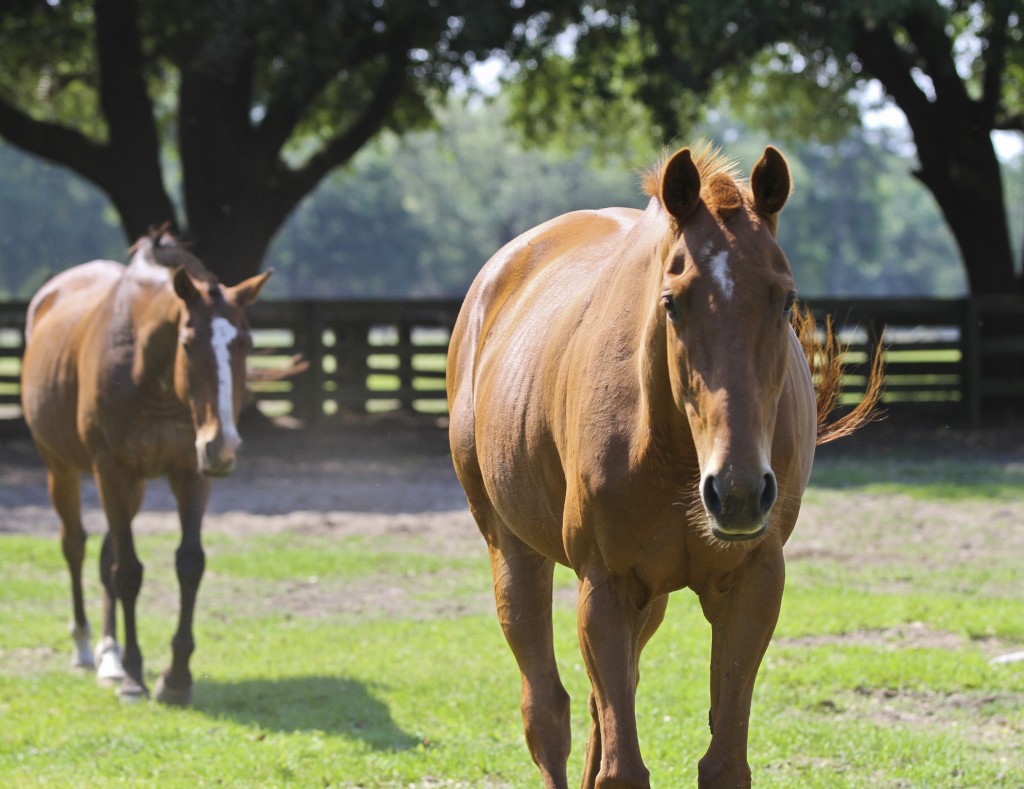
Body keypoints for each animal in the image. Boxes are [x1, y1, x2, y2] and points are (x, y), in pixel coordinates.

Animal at [22, 231, 270, 708]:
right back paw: (86, 649)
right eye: (188, 343)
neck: (147, 371)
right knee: (75, 546)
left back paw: (109, 654)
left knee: (105, 557)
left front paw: (176, 678)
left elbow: (188, 563)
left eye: (245, 343)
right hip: (62, 467)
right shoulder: (111, 470)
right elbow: (129, 572)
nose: (224, 445)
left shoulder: (189, 471)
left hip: (134, 486)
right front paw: (136, 676)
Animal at [448, 145, 880, 785]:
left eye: (785, 299)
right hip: (514, 551)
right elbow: (620, 767)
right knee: (547, 712)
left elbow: (722, 762)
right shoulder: (605, 586)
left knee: (600, 709)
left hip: (648, 599)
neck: (673, 446)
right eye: (672, 301)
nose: (738, 492)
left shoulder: (752, 584)